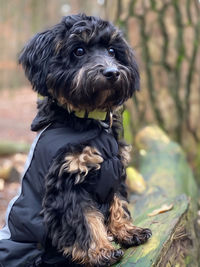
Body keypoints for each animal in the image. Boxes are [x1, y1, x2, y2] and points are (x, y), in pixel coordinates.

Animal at [0, 13, 151, 266]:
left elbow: (118, 203)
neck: (90, 122)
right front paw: (101, 250)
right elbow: (85, 220)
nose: (112, 72)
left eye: (112, 51)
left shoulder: (115, 169)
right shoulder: (67, 181)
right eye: (79, 50)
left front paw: (126, 231)